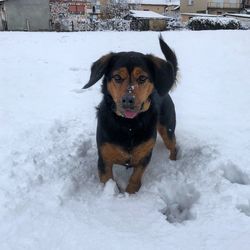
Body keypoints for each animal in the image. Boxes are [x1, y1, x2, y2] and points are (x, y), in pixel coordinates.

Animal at [83, 35, 178, 193]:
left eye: (142, 78)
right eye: (117, 77)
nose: (128, 100)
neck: (129, 125)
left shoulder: (145, 156)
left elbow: (135, 178)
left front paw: (130, 193)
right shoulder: (104, 158)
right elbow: (108, 181)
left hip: (167, 128)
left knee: (174, 146)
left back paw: (173, 163)